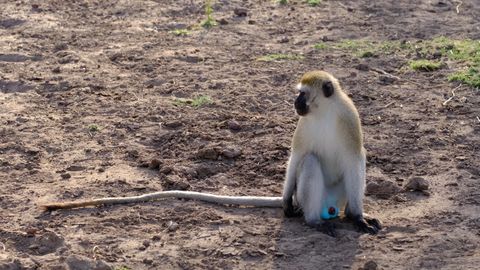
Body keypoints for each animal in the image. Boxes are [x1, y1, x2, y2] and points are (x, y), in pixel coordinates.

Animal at [40, 71, 378, 236]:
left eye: (303, 94)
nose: (295, 103)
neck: (324, 112)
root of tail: (325, 207)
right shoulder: (303, 126)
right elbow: (297, 157)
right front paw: (284, 202)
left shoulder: (350, 119)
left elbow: (355, 160)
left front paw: (358, 217)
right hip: (315, 200)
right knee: (308, 163)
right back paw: (314, 222)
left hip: (338, 196)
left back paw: (340, 217)